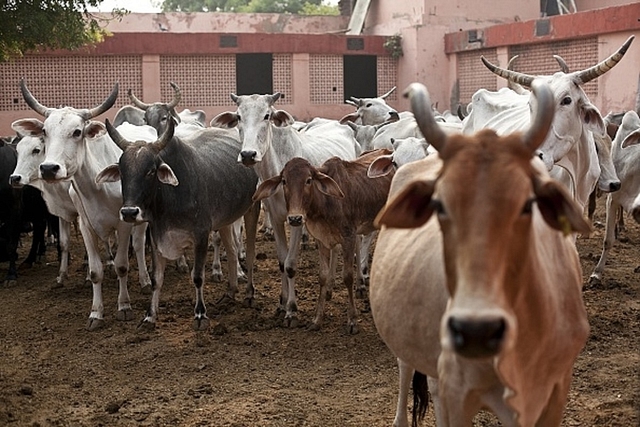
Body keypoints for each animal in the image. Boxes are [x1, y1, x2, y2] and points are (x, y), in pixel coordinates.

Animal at [95, 118, 260, 332]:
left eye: (151, 171)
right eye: (122, 171)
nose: (129, 212)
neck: (171, 197)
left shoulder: (201, 236)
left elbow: (197, 276)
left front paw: (200, 315)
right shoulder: (156, 236)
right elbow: (156, 279)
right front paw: (149, 316)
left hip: (252, 209)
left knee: (249, 254)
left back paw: (249, 294)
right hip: (225, 220)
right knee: (232, 252)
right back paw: (230, 292)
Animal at [211, 94, 358, 328]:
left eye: (267, 115)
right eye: (239, 116)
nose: (248, 154)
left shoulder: (297, 220)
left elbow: (290, 264)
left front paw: (292, 310)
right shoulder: (276, 218)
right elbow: (281, 261)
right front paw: (282, 303)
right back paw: (329, 289)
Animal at [255, 150, 396, 334]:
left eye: (309, 180)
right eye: (284, 181)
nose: (295, 218)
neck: (325, 203)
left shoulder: (348, 237)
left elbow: (347, 276)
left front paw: (352, 321)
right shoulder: (322, 239)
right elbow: (322, 276)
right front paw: (317, 319)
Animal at [370, 81, 592, 427]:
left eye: (528, 203)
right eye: (439, 204)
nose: (476, 329)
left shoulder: (555, 391)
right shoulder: (460, 392)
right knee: (407, 368)